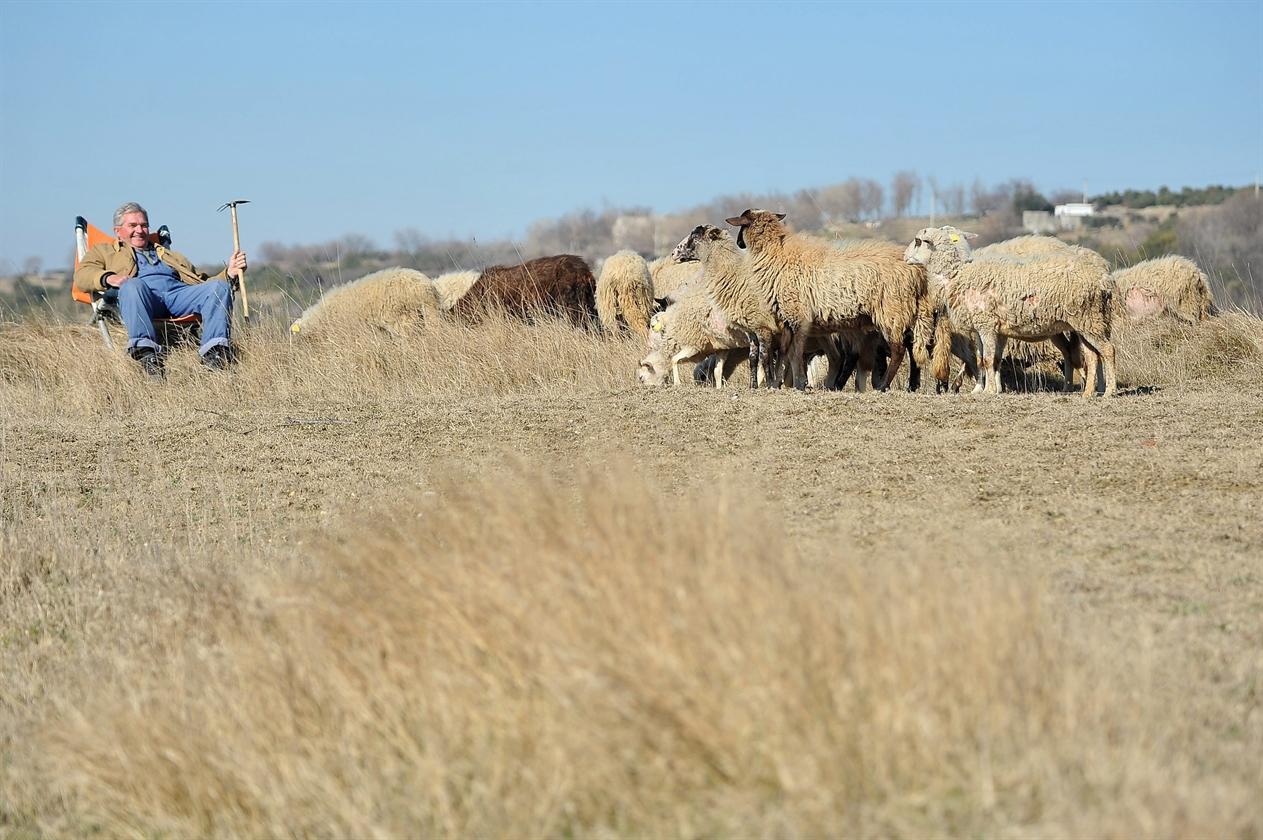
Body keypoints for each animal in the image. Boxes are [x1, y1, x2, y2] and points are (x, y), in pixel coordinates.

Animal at [727, 209, 934, 394]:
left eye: (742, 225)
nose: (739, 243)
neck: (777, 253)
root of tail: (917, 271)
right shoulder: (787, 317)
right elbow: (786, 351)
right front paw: (776, 384)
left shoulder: (799, 316)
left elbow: (796, 351)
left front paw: (800, 384)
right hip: (907, 310)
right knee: (912, 347)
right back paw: (911, 385)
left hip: (892, 310)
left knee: (898, 350)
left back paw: (883, 386)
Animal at [909, 226, 1116, 396]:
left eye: (918, 241)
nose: (905, 257)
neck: (958, 274)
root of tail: (1104, 277)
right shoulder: (987, 328)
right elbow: (986, 359)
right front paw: (988, 389)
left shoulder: (987, 325)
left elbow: (987, 359)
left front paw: (989, 391)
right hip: (1086, 322)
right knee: (1091, 355)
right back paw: (1088, 392)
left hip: (1088, 318)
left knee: (1107, 351)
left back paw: (1108, 391)